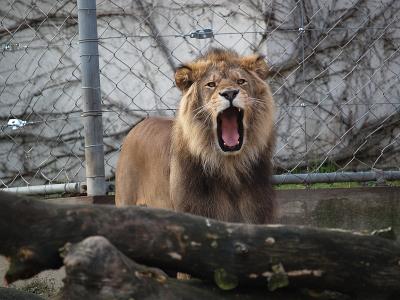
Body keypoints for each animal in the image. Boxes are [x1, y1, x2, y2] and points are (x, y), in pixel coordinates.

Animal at [115, 48, 276, 224]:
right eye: (211, 84)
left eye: (241, 81)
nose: (230, 93)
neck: (229, 166)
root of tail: (140, 124)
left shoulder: (258, 215)